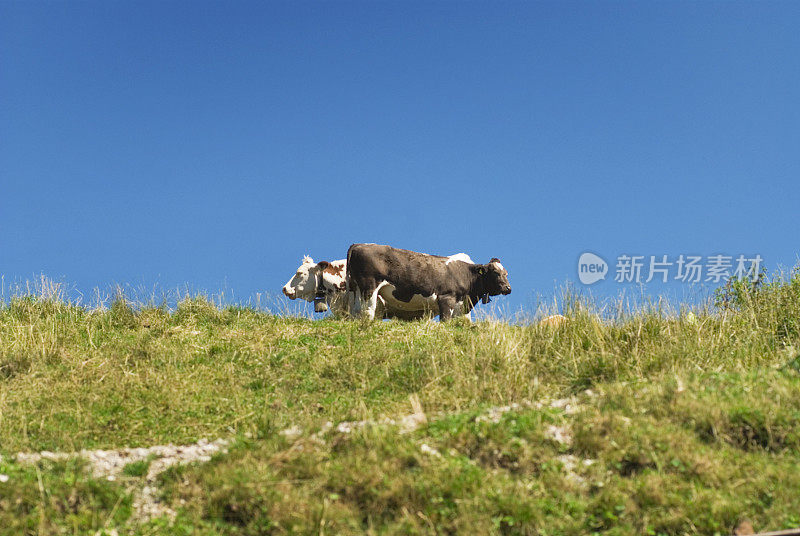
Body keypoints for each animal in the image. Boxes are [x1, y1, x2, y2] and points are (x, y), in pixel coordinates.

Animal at [346, 244, 510, 322]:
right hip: (369, 287)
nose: (508, 288)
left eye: (506, 273)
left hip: (357, 289)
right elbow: (445, 321)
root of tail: (359, 244)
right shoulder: (446, 298)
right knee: (367, 311)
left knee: (356, 311)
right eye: (495, 273)